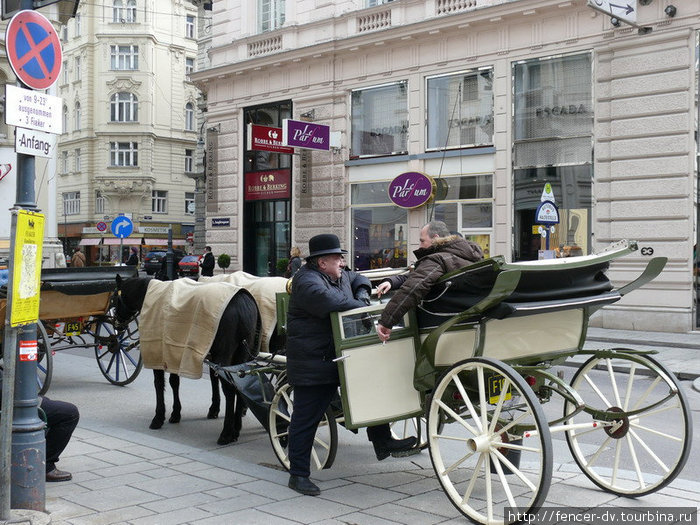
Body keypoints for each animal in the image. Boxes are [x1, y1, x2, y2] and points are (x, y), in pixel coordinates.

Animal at [115, 276, 262, 444]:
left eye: (114, 298)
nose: (116, 323)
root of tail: (243, 301)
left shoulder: (158, 351)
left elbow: (159, 384)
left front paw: (159, 417)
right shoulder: (172, 353)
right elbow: (174, 382)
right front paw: (175, 413)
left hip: (224, 356)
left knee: (230, 390)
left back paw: (226, 433)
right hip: (241, 355)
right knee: (239, 387)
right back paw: (236, 428)